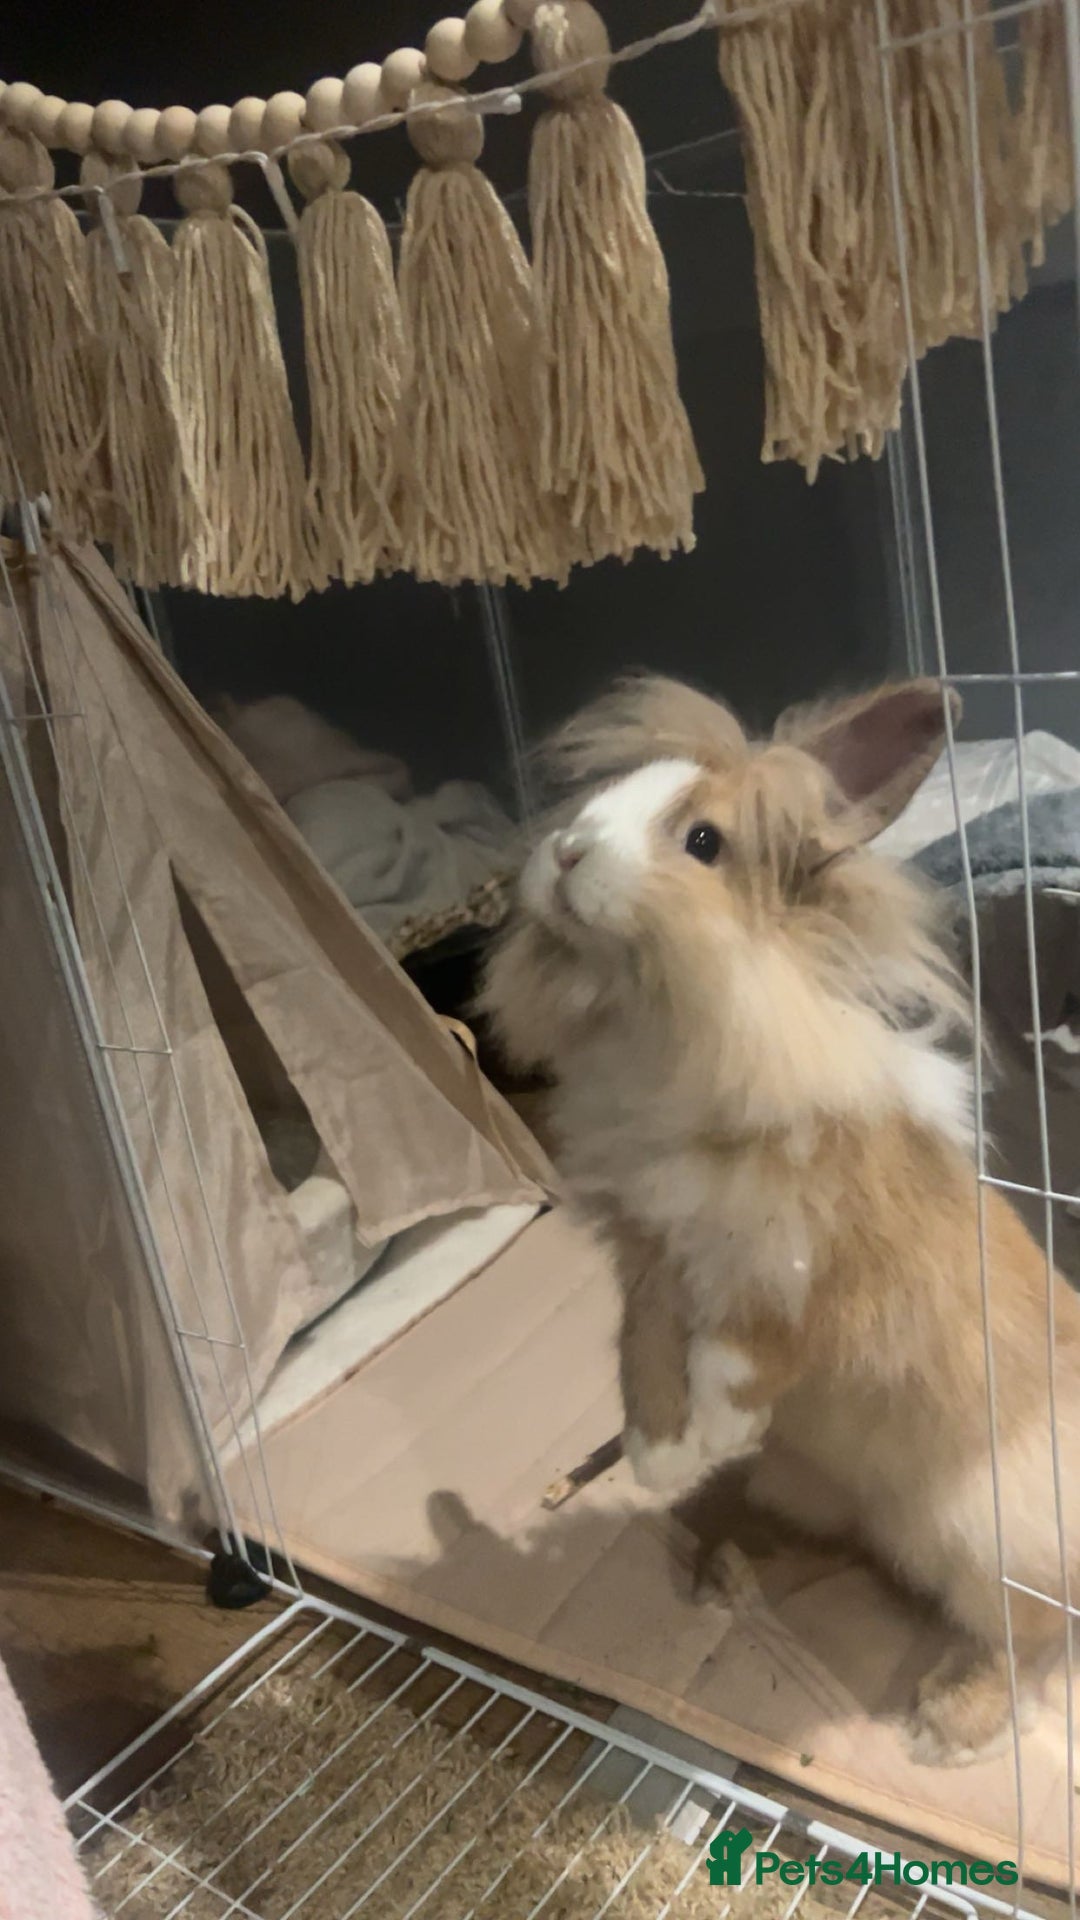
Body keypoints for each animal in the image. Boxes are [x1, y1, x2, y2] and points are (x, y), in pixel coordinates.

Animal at [480, 673, 1080, 1767]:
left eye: (703, 841)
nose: (567, 853)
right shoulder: (649, 1261)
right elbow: (640, 1355)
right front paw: (654, 1457)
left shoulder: (807, 1281)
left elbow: (739, 1360)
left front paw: (706, 1436)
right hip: (814, 1483)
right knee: (850, 1551)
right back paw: (732, 1570)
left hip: (995, 1535)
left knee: (1022, 1637)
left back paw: (947, 1724)